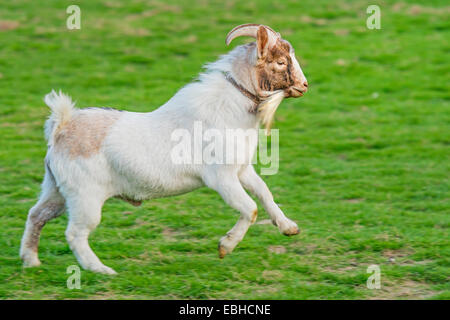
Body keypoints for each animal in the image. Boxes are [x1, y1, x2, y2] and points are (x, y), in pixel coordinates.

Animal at [19, 23, 308, 274]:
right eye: (280, 62)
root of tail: (62, 125)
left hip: (56, 190)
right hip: (85, 197)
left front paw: (289, 228)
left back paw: (31, 261)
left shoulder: (242, 169)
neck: (228, 108)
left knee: (36, 215)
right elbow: (250, 208)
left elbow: (264, 193)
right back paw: (102, 271)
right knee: (75, 233)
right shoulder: (221, 178)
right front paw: (225, 246)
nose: (304, 86)